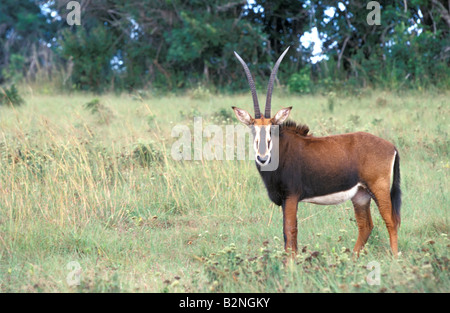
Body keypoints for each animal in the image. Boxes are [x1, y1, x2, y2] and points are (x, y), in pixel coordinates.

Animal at [232, 47, 400, 256]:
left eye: (272, 128)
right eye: (253, 129)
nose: (262, 158)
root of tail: (391, 146)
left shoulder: (291, 196)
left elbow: (290, 231)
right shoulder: (285, 200)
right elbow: (288, 235)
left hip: (379, 188)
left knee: (391, 221)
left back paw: (394, 258)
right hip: (361, 195)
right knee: (366, 226)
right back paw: (352, 259)